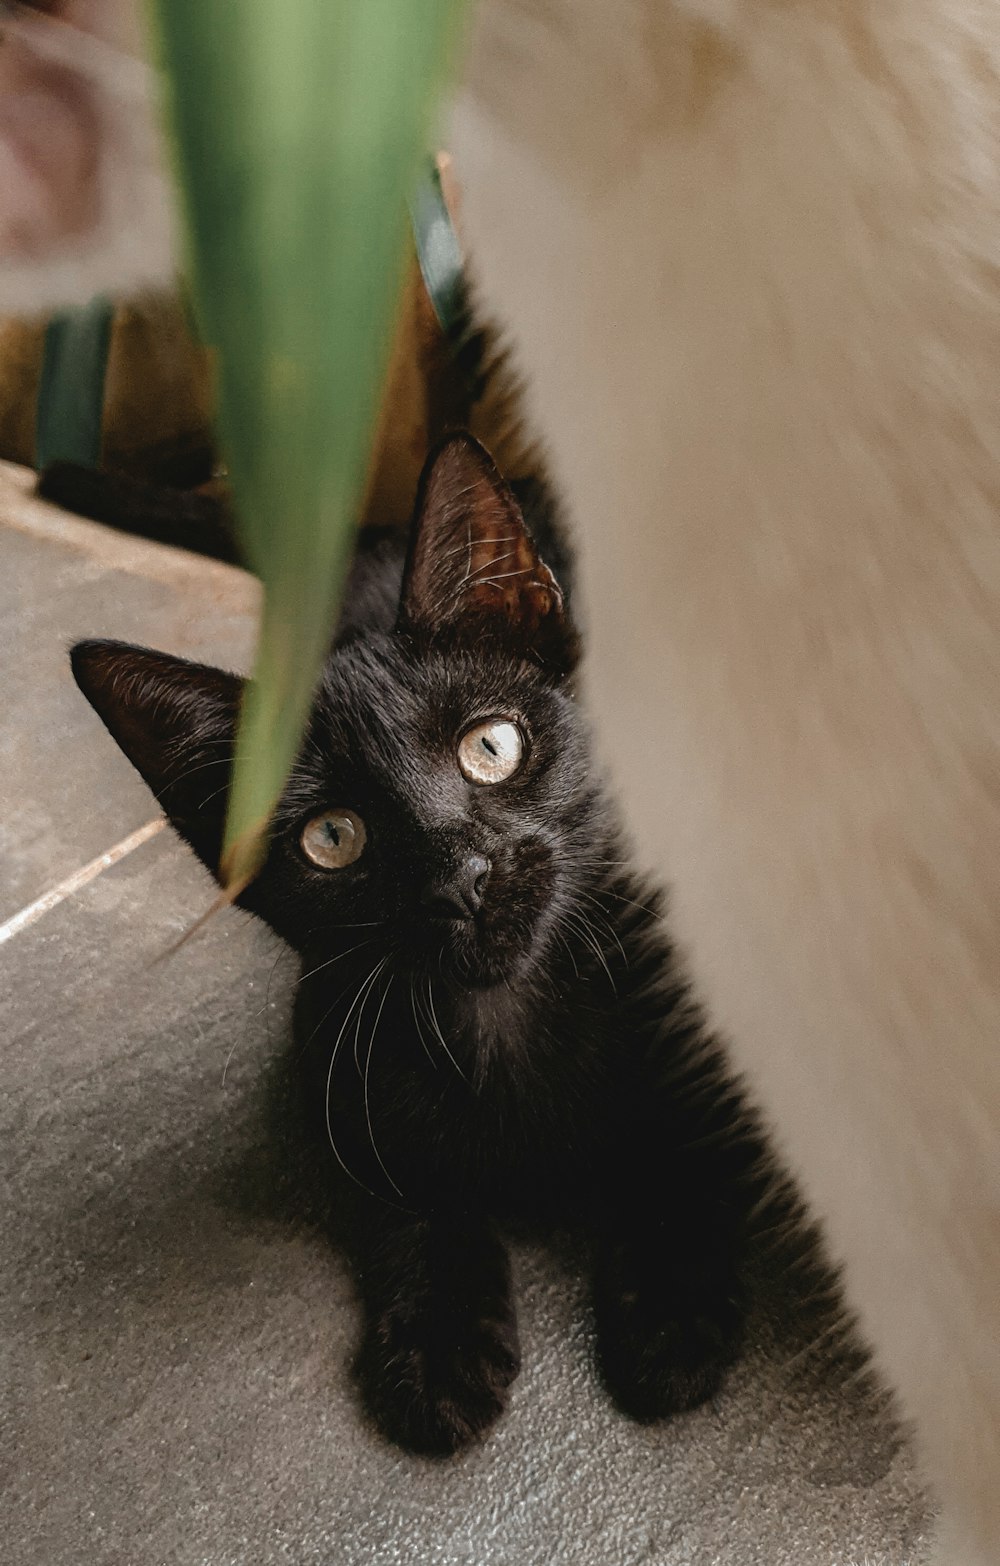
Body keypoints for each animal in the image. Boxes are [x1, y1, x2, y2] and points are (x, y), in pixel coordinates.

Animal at [74, 432, 763, 1453]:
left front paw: (673, 1303)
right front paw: (439, 1342)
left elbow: (689, 1148)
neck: (512, 1021)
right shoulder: (331, 1047)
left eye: (492, 748)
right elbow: (411, 1196)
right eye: (333, 837)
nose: (458, 876)